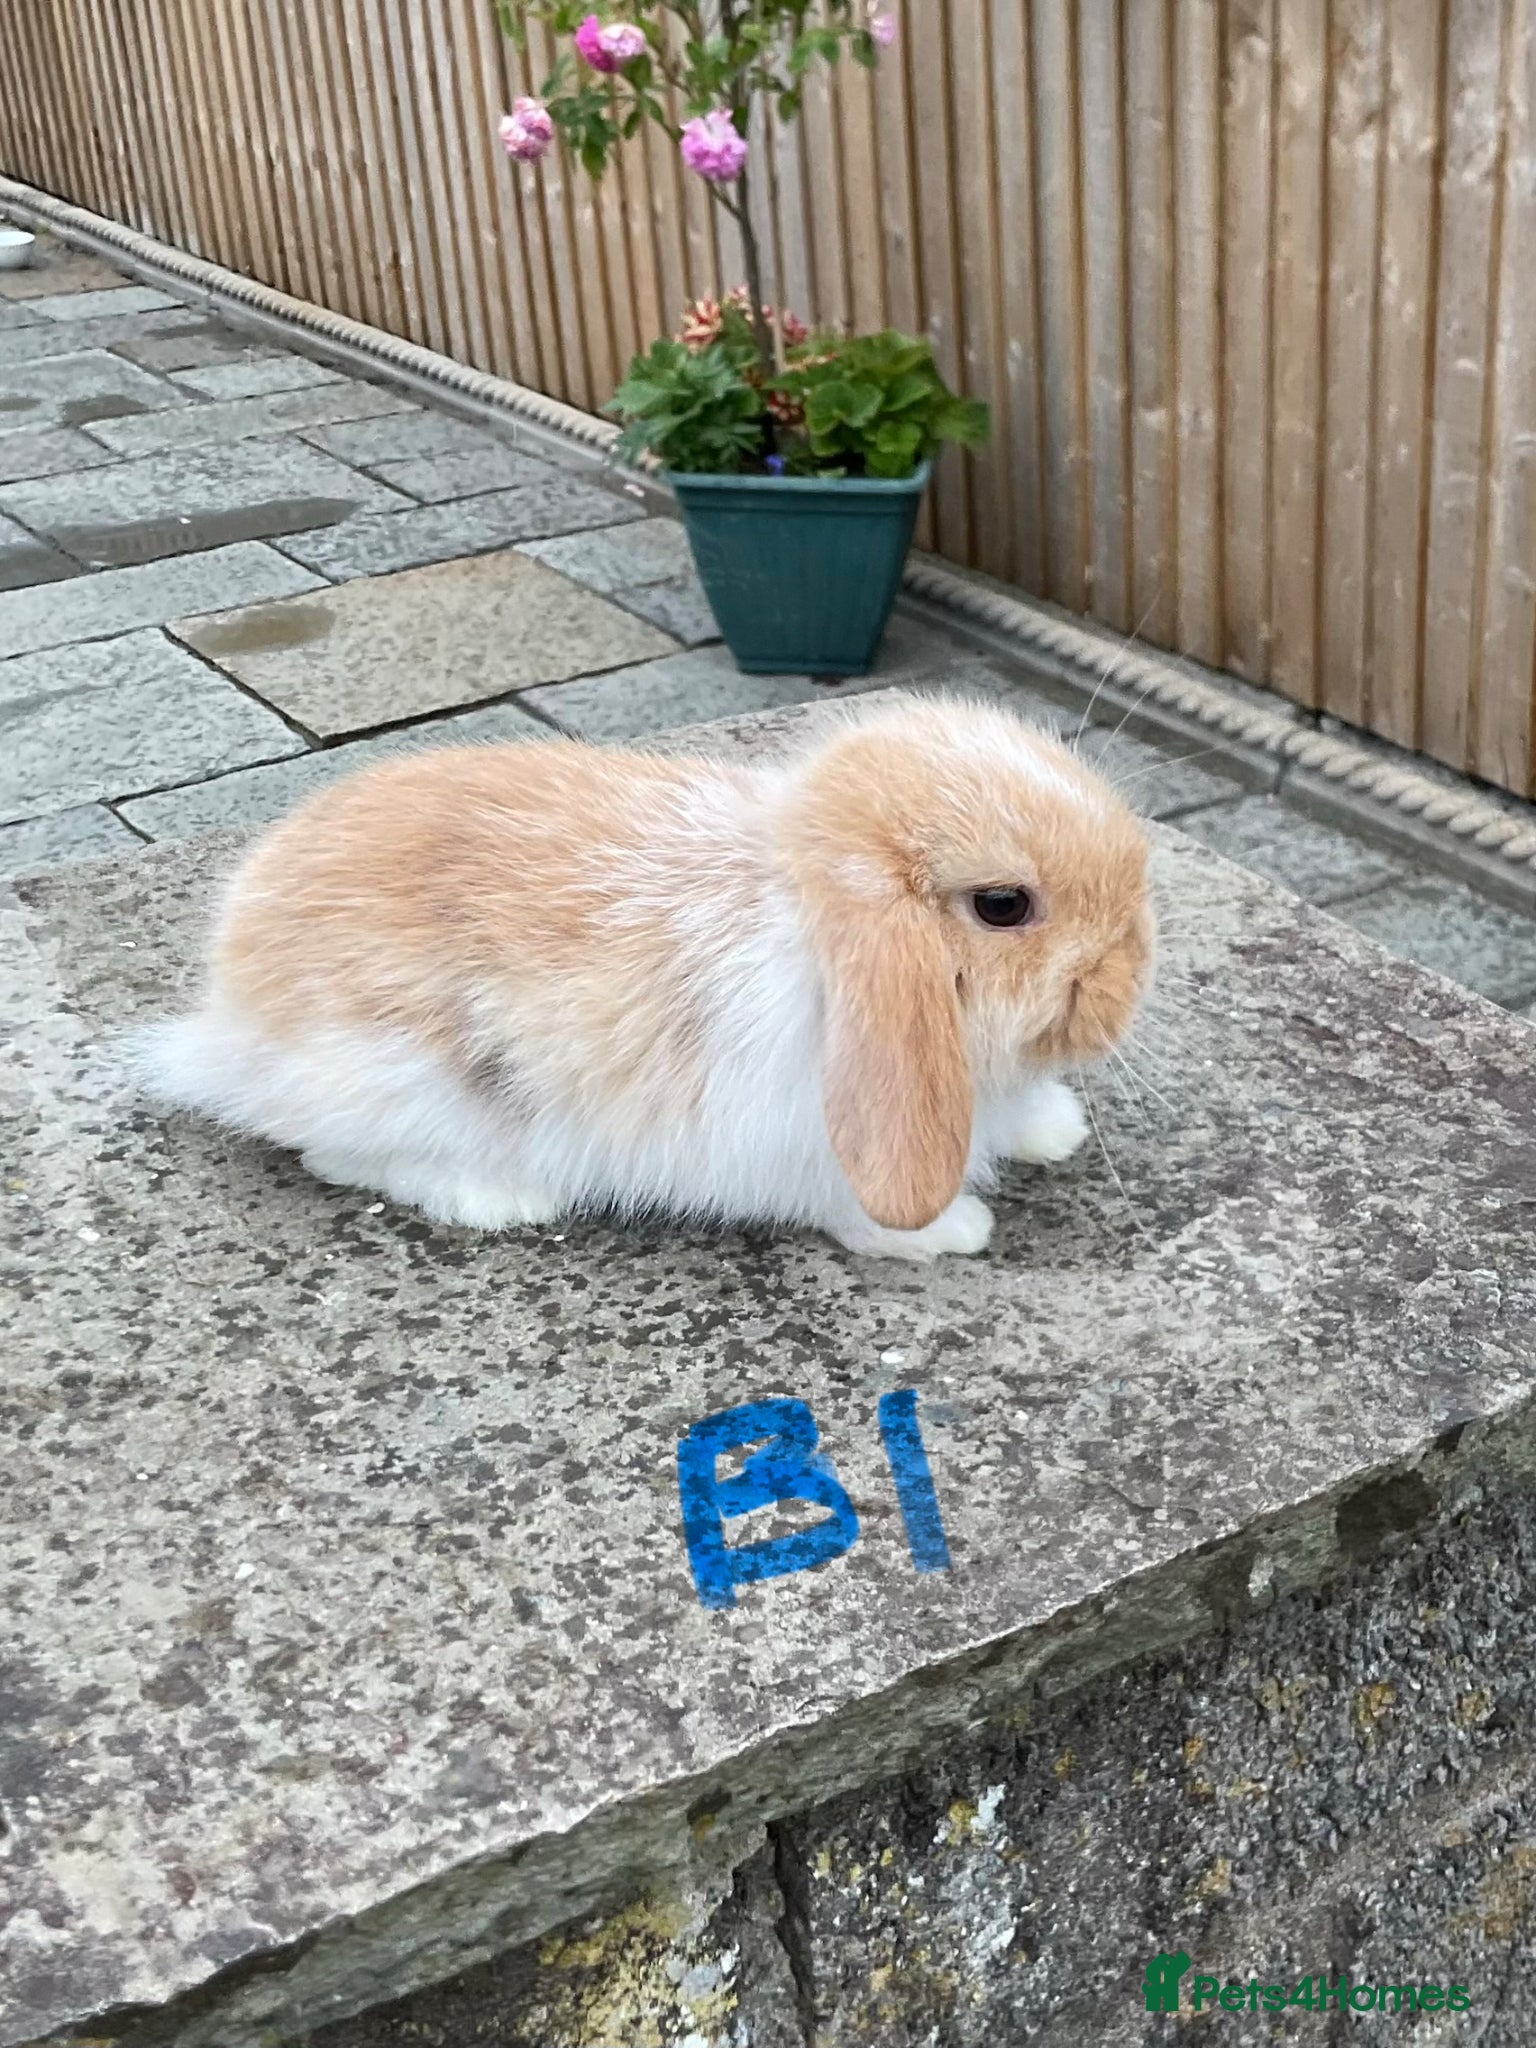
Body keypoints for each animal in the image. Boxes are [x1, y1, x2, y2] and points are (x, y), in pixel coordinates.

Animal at [139, 694, 1154, 1260]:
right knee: (333, 1154)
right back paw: (503, 1199)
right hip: (401, 1082)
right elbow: (862, 1213)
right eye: (1003, 905)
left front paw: (1054, 1130)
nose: (1133, 974)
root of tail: (226, 1019)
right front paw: (954, 1234)